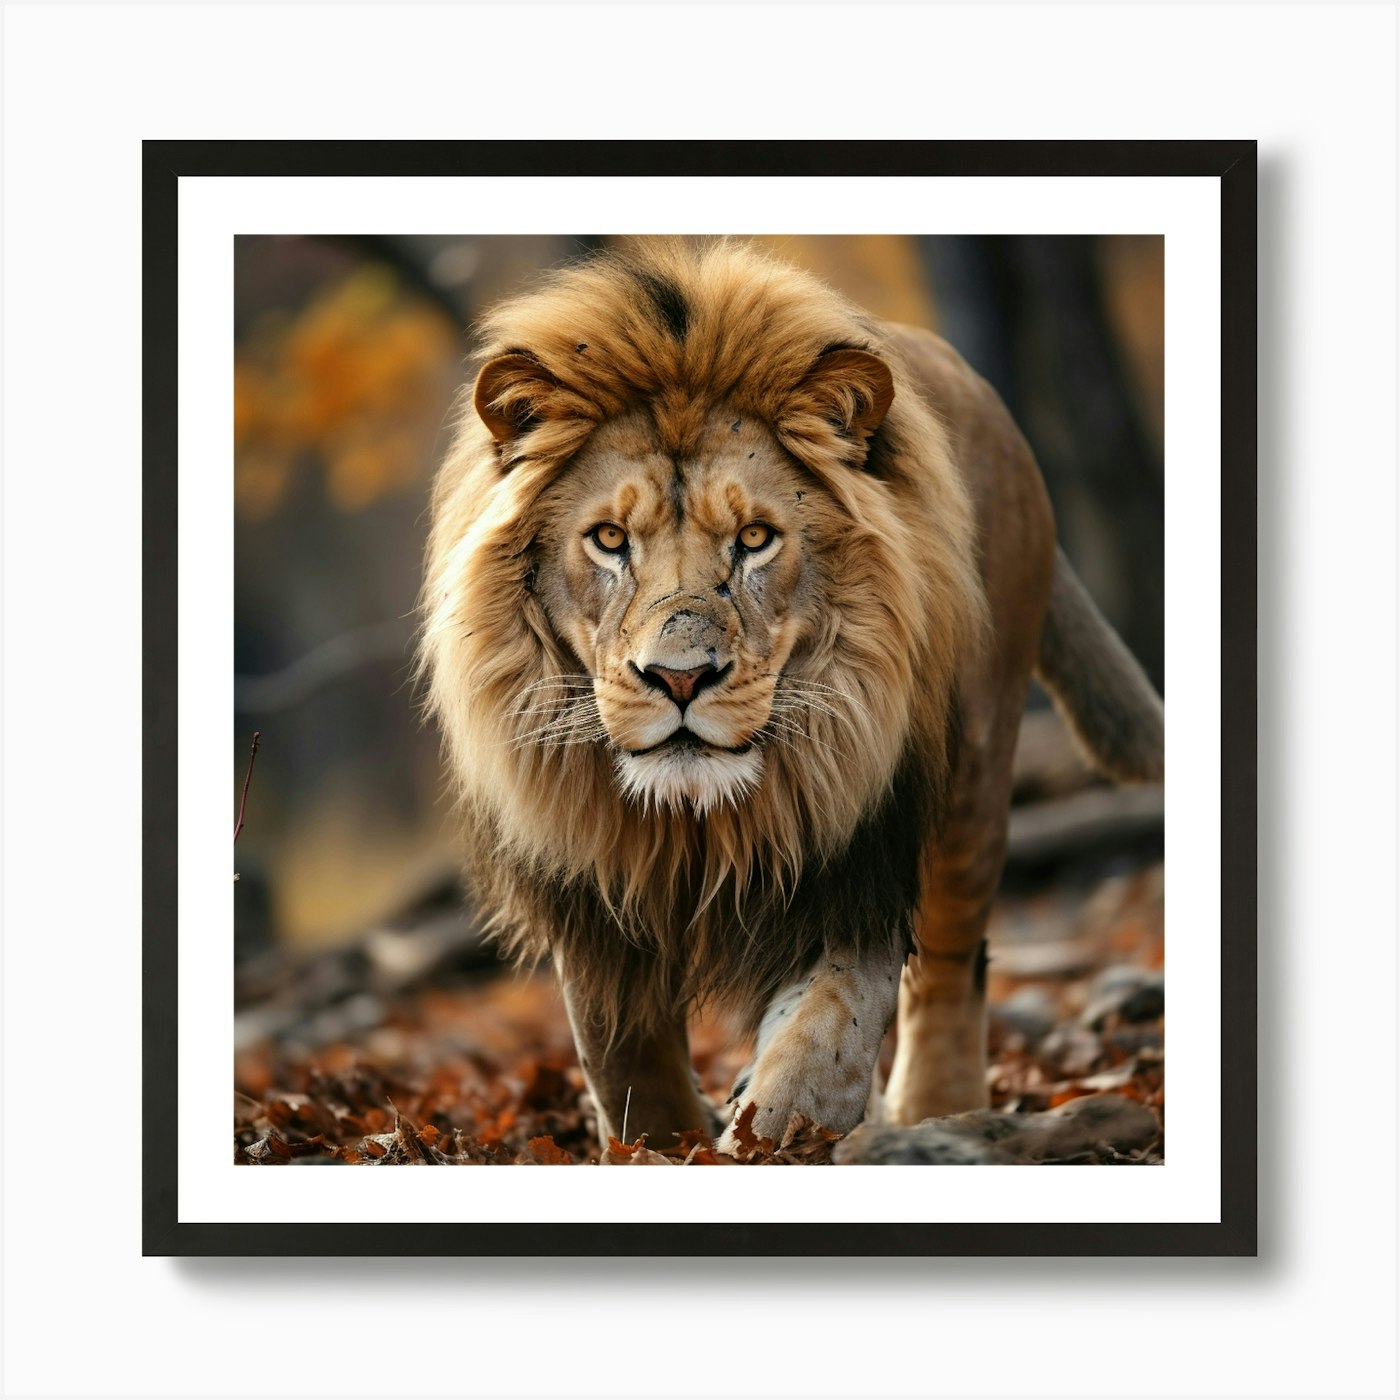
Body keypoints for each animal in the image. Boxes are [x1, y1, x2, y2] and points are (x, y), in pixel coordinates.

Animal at [420, 238, 1163, 1154]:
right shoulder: (592, 886)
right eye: (609, 540)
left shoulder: (859, 852)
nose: (679, 678)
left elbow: (826, 1031)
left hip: (976, 777)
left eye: (754, 538)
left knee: (952, 962)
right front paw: (660, 1145)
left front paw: (773, 1133)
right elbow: (620, 1057)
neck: (699, 822)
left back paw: (939, 1115)